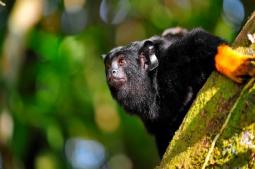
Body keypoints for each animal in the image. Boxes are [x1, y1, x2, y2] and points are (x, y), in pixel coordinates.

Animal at [102, 27, 255, 157]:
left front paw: (234, 64)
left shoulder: (173, 59)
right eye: (109, 65)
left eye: (121, 62)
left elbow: (198, 41)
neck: (153, 82)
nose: (112, 72)